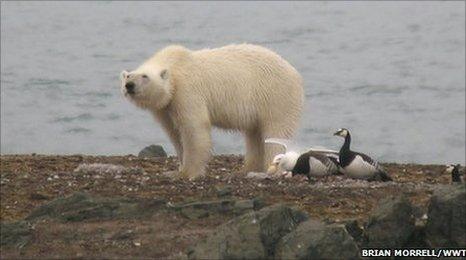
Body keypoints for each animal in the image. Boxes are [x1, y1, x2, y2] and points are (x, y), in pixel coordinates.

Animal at [120, 44, 304, 179]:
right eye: (128, 76)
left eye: (145, 76)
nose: (129, 86)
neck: (175, 67)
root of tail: (295, 73)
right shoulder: (166, 106)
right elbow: (174, 132)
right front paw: (176, 170)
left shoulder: (187, 91)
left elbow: (194, 129)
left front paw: (188, 173)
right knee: (254, 134)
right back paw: (246, 169)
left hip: (275, 96)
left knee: (275, 131)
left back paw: (269, 170)